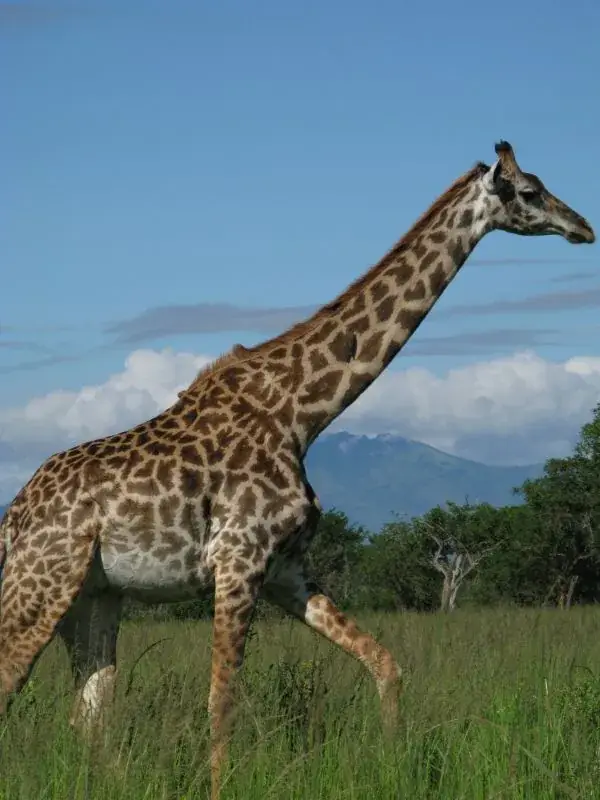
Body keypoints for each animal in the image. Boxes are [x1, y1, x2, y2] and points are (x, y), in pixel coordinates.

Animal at [0, 141, 594, 797]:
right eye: (531, 192)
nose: (583, 227)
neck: (302, 412)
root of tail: (13, 516)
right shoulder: (238, 560)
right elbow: (222, 702)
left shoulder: (286, 570)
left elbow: (386, 664)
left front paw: (394, 765)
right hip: (40, 584)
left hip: (94, 598)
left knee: (88, 715)